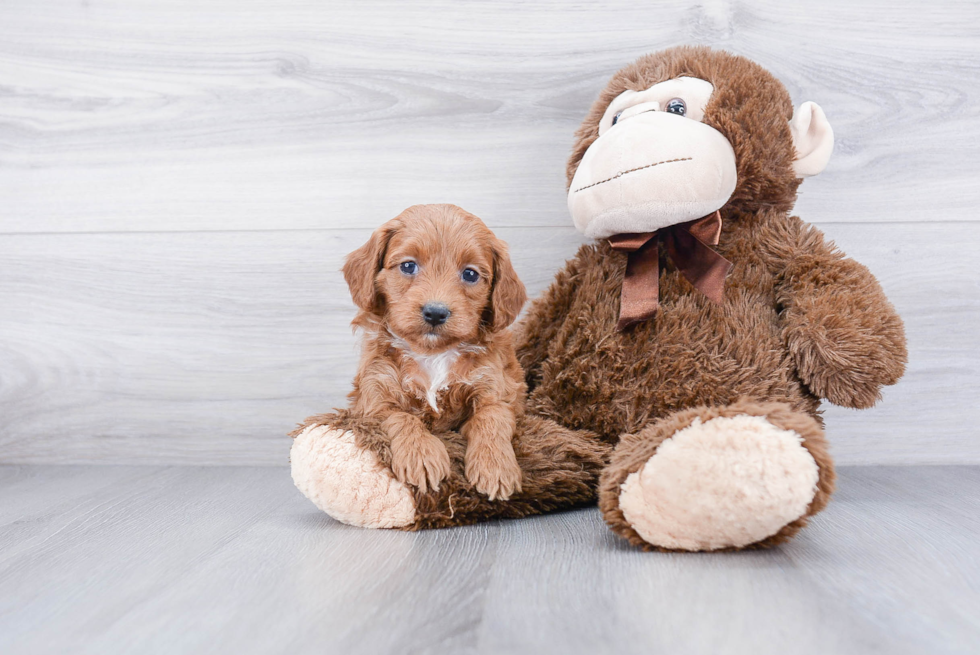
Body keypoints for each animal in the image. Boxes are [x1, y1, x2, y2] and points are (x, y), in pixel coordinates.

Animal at [342, 202, 528, 500]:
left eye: (470, 274)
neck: (431, 353)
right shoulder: (372, 399)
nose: (436, 312)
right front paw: (421, 456)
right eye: (408, 266)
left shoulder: (497, 390)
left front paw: (495, 467)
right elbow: (401, 416)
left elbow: (491, 418)